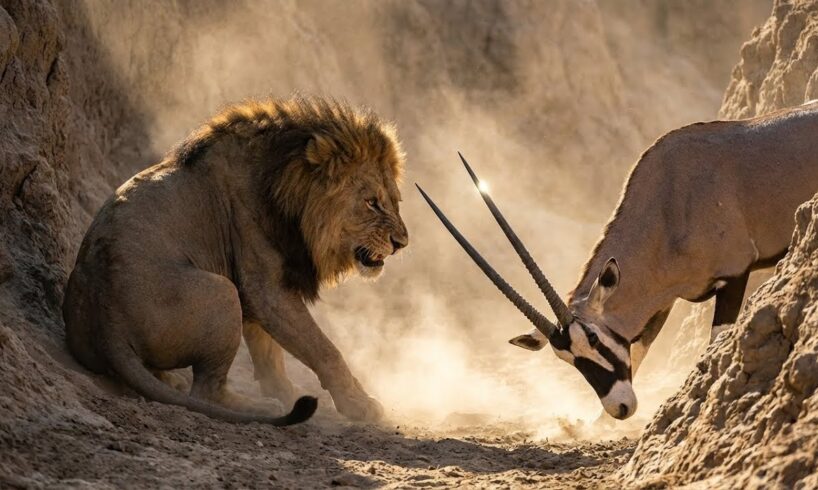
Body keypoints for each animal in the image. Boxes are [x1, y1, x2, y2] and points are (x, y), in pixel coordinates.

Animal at [63, 96, 409, 425]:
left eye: (395, 201)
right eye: (371, 202)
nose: (401, 244)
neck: (284, 184)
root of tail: (107, 320)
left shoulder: (253, 286)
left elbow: (268, 352)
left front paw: (286, 393)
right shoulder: (264, 287)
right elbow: (323, 348)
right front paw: (359, 405)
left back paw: (171, 381)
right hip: (222, 291)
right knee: (207, 392)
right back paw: (258, 406)